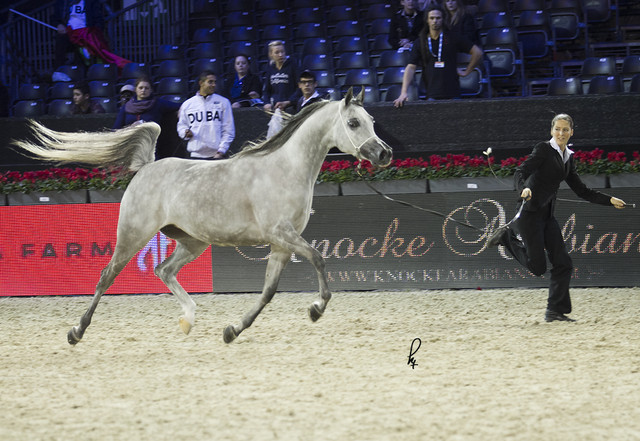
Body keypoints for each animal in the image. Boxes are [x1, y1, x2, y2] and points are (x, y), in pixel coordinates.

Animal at [14, 88, 393, 345]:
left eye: (373, 121)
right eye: (354, 122)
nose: (384, 154)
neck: (285, 169)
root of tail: (148, 166)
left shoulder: (282, 244)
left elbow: (269, 291)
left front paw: (232, 330)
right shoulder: (281, 234)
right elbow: (318, 258)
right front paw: (316, 308)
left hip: (191, 242)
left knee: (163, 269)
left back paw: (188, 319)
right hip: (133, 235)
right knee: (107, 277)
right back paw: (76, 331)